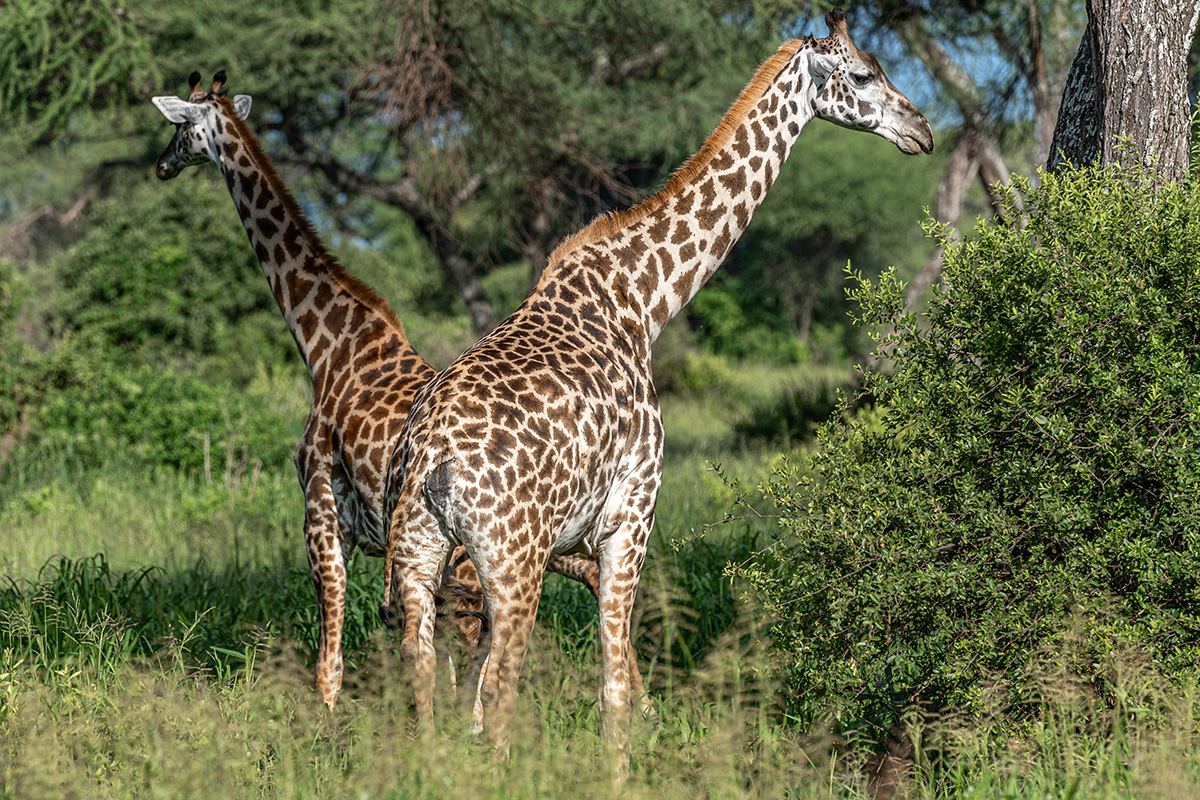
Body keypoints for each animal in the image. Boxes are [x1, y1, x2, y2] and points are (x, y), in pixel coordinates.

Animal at [150, 71, 647, 711]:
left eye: (179, 127)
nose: (162, 165)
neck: (326, 341)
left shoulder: (321, 513)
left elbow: (330, 661)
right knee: (581, 592)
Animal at [381, 9, 932, 778]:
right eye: (861, 74)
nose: (923, 130)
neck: (644, 300)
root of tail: (431, 463)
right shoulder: (631, 514)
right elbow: (612, 685)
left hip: (417, 556)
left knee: (426, 677)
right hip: (511, 561)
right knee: (496, 690)